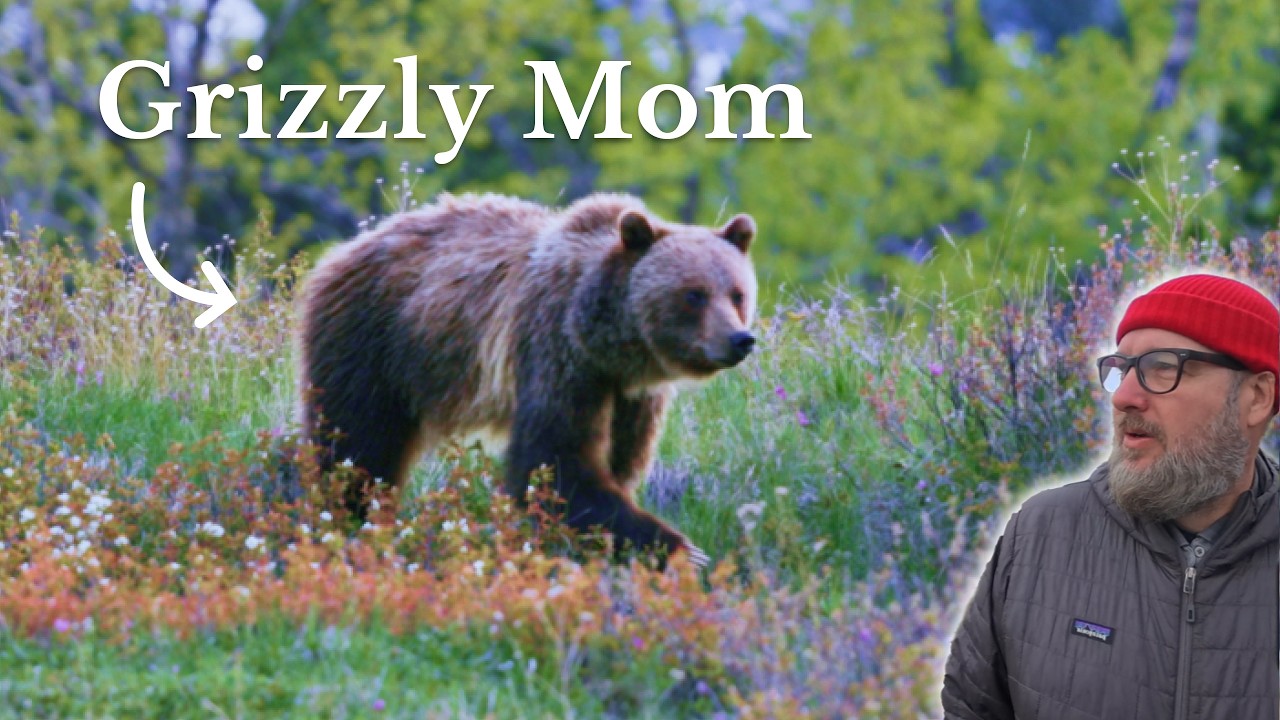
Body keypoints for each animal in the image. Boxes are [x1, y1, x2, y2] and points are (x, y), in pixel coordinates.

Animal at [295, 191, 758, 566]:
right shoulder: (555, 352)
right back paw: (350, 518)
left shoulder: (633, 395)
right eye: (694, 294)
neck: (607, 340)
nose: (740, 339)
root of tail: (347, 246)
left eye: (737, 293)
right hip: (372, 340)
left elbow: (616, 462)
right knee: (357, 443)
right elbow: (554, 463)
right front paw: (680, 549)